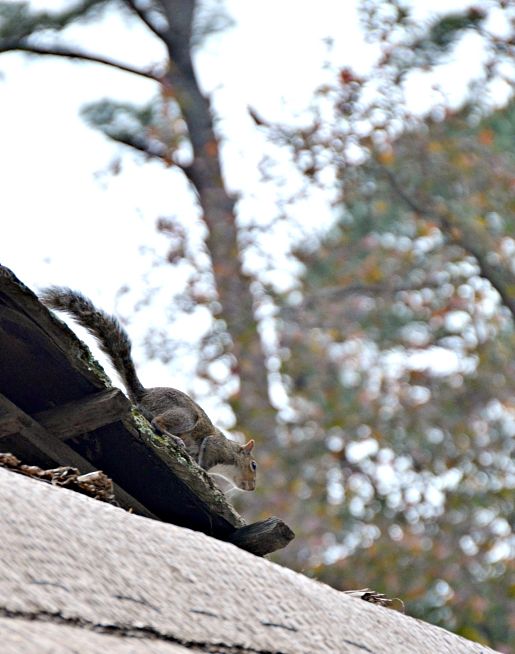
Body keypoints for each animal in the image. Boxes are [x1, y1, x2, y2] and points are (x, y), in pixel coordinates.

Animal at [40, 287, 257, 492]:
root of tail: (144, 394)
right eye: (253, 465)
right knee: (157, 422)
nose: (253, 487)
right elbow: (204, 459)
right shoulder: (215, 446)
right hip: (184, 415)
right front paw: (206, 475)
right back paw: (175, 439)